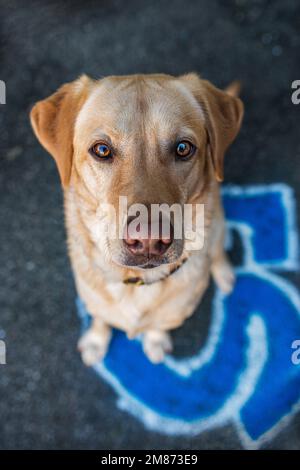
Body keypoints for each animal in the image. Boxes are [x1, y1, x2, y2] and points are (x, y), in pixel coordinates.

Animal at [29, 73, 244, 366]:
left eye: (183, 148)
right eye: (102, 150)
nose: (149, 241)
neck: (135, 281)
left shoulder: (171, 315)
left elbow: (157, 326)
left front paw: (155, 340)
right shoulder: (92, 300)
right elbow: (100, 318)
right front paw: (96, 340)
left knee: (218, 248)